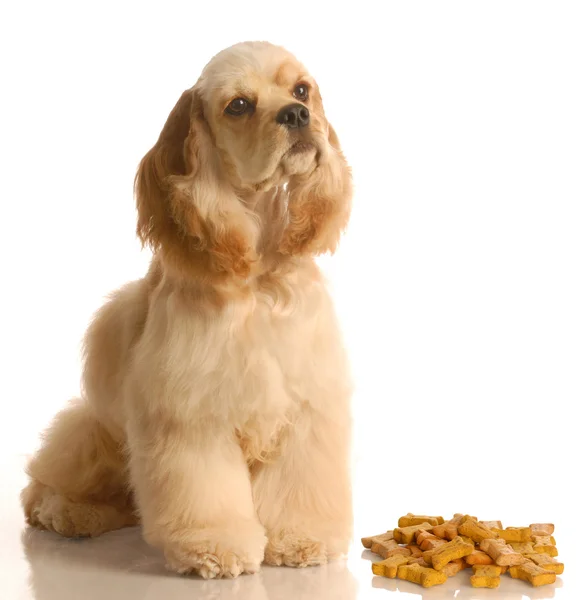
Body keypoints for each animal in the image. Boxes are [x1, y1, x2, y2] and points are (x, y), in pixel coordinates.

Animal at [21, 39, 352, 580]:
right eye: (238, 105)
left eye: (302, 89)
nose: (297, 114)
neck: (257, 274)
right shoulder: (190, 408)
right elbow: (204, 489)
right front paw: (214, 547)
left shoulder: (306, 402)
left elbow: (299, 484)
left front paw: (302, 538)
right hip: (95, 432)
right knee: (43, 482)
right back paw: (67, 511)